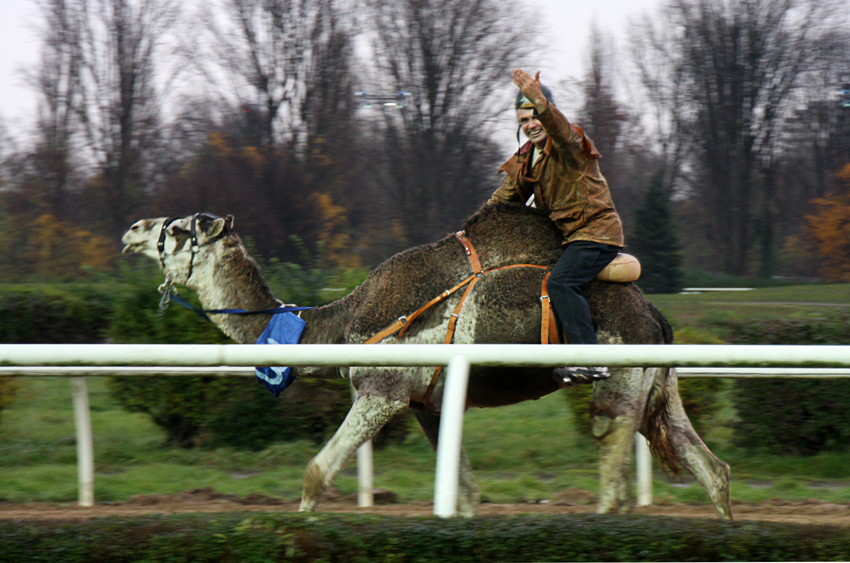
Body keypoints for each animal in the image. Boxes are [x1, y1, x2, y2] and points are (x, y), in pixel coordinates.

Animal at [122, 205, 732, 516]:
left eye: (178, 230)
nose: (131, 230)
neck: (341, 327)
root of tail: (655, 317)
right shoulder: (429, 403)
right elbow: (464, 491)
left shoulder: (383, 392)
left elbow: (315, 474)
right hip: (658, 386)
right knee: (711, 469)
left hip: (621, 380)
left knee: (611, 465)